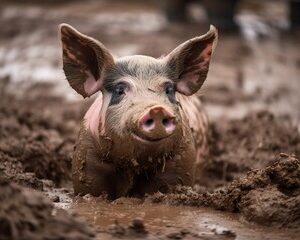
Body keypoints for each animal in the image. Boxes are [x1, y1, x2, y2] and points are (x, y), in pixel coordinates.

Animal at [59, 23, 218, 199]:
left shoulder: (183, 157)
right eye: (120, 90)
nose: (156, 109)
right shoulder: (86, 155)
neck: (133, 166)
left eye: (169, 89)